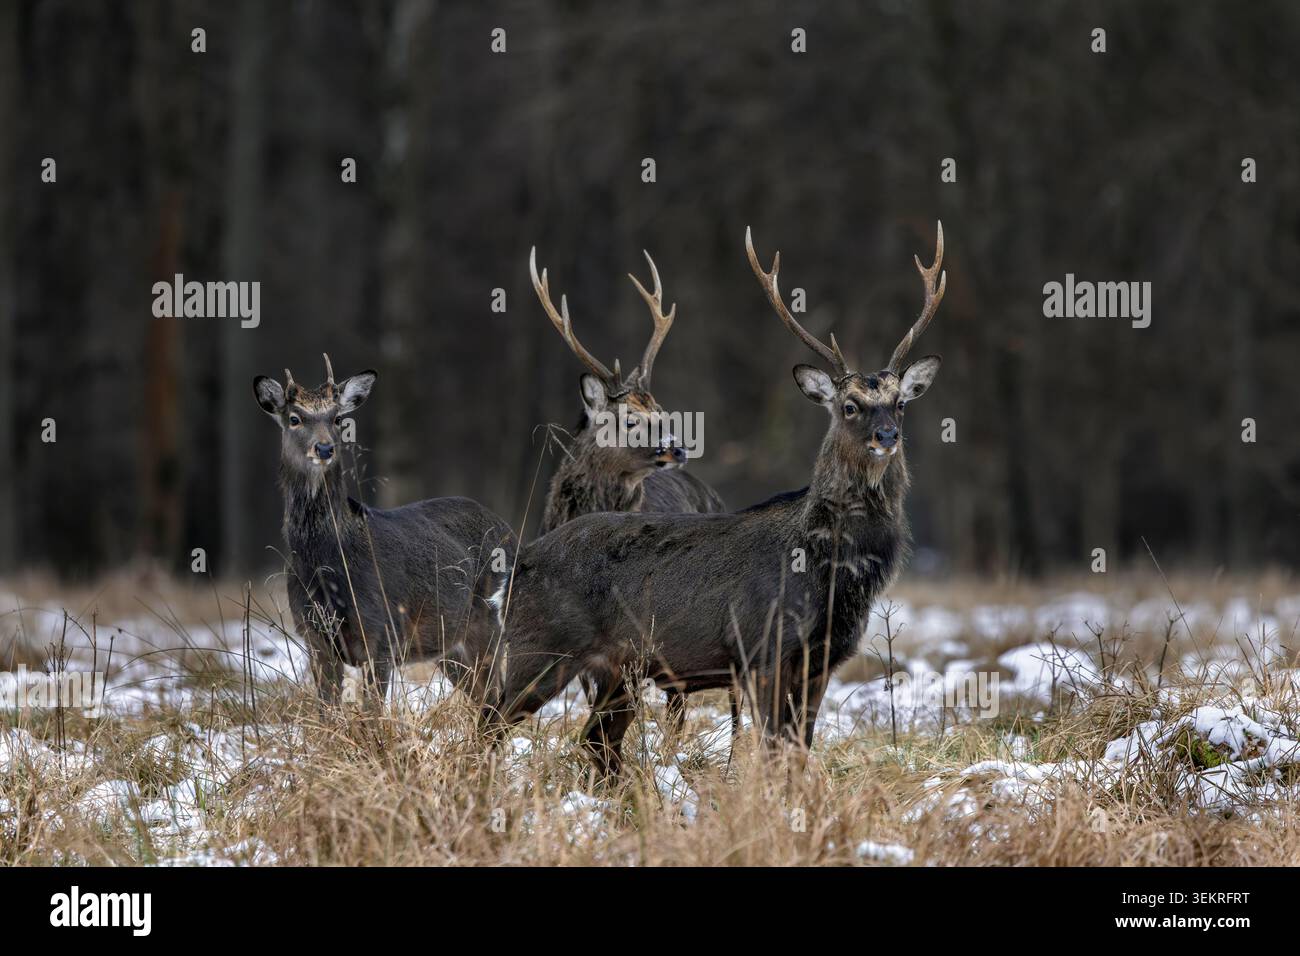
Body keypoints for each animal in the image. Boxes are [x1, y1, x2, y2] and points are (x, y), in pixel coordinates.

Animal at [254, 355, 516, 706]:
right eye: (294, 418)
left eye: (337, 418)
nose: (324, 448)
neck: (327, 566)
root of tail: (510, 530)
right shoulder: (313, 637)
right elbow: (325, 709)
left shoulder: (382, 633)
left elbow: (372, 711)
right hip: (449, 647)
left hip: (491, 623)